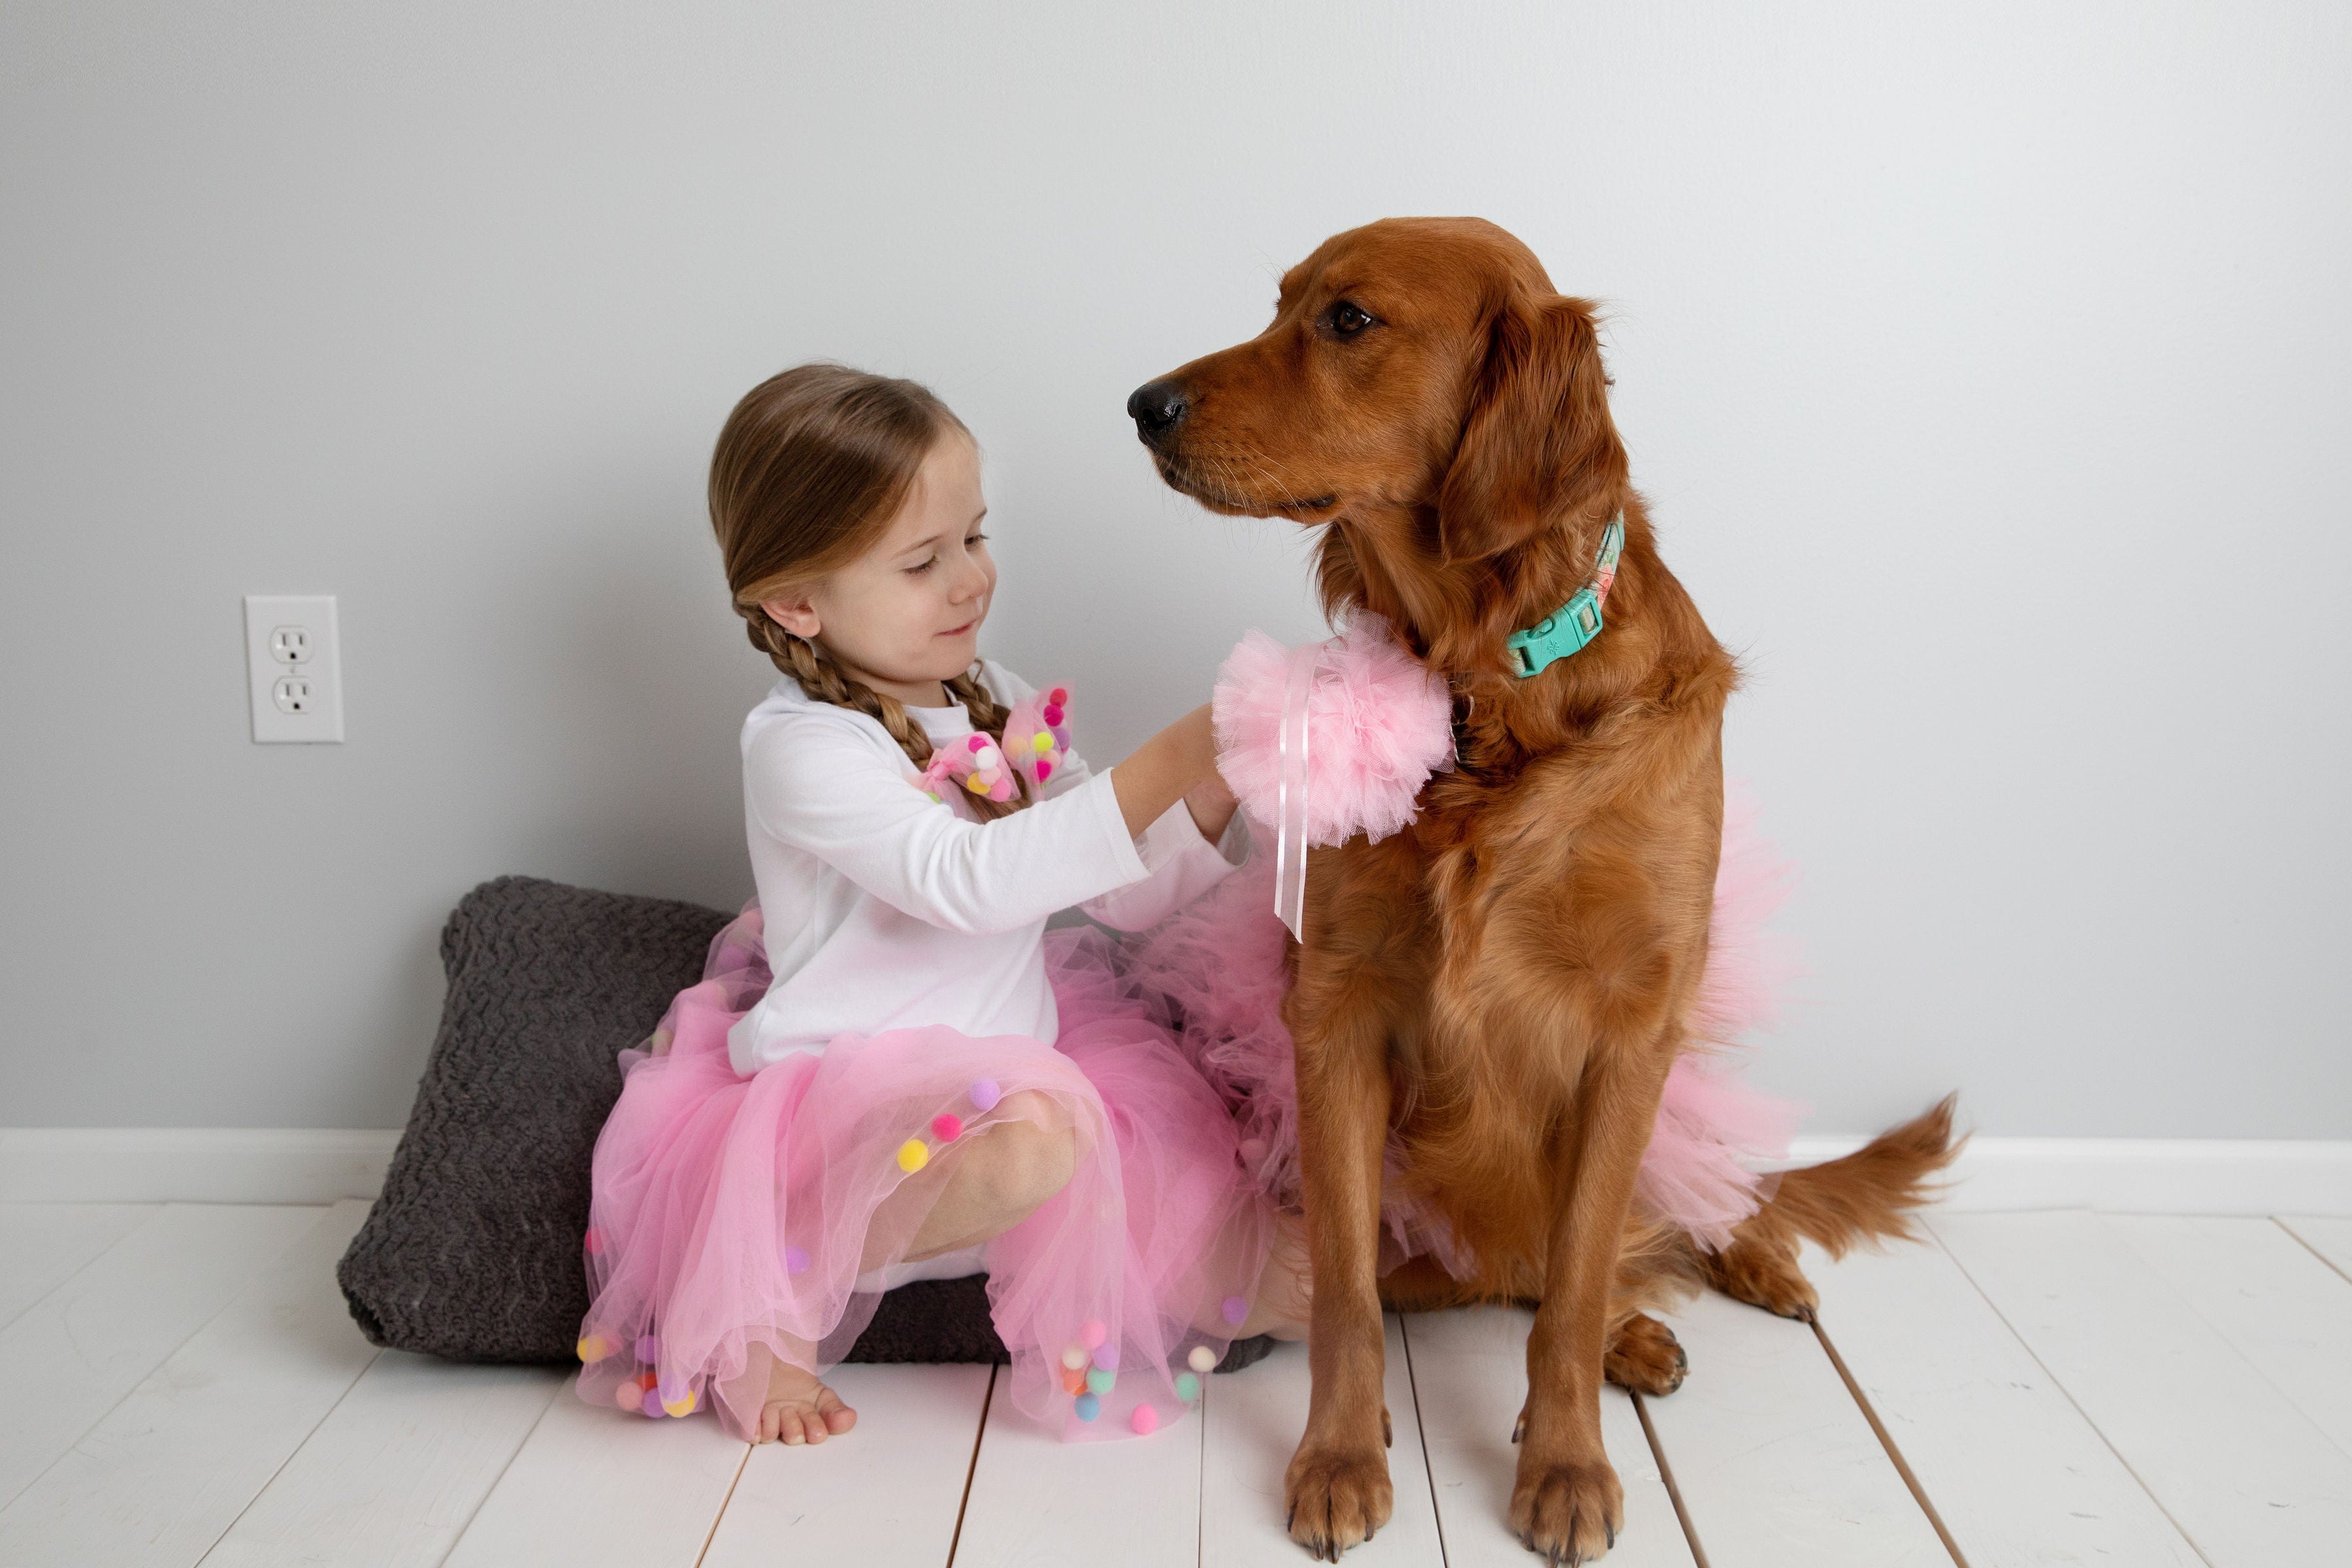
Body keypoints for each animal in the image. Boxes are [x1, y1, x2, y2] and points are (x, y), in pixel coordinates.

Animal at [1129, 217, 1957, 1561]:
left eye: (1348, 320)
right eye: (1278, 304)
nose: (1143, 405)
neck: (1485, 689)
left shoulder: (1633, 1025)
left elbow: (1572, 1288)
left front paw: (1566, 1465)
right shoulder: (1336, 1009)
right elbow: (1349, 1289)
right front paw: (1340, 1457)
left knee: (1669, 1221)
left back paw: (1734, 1276)